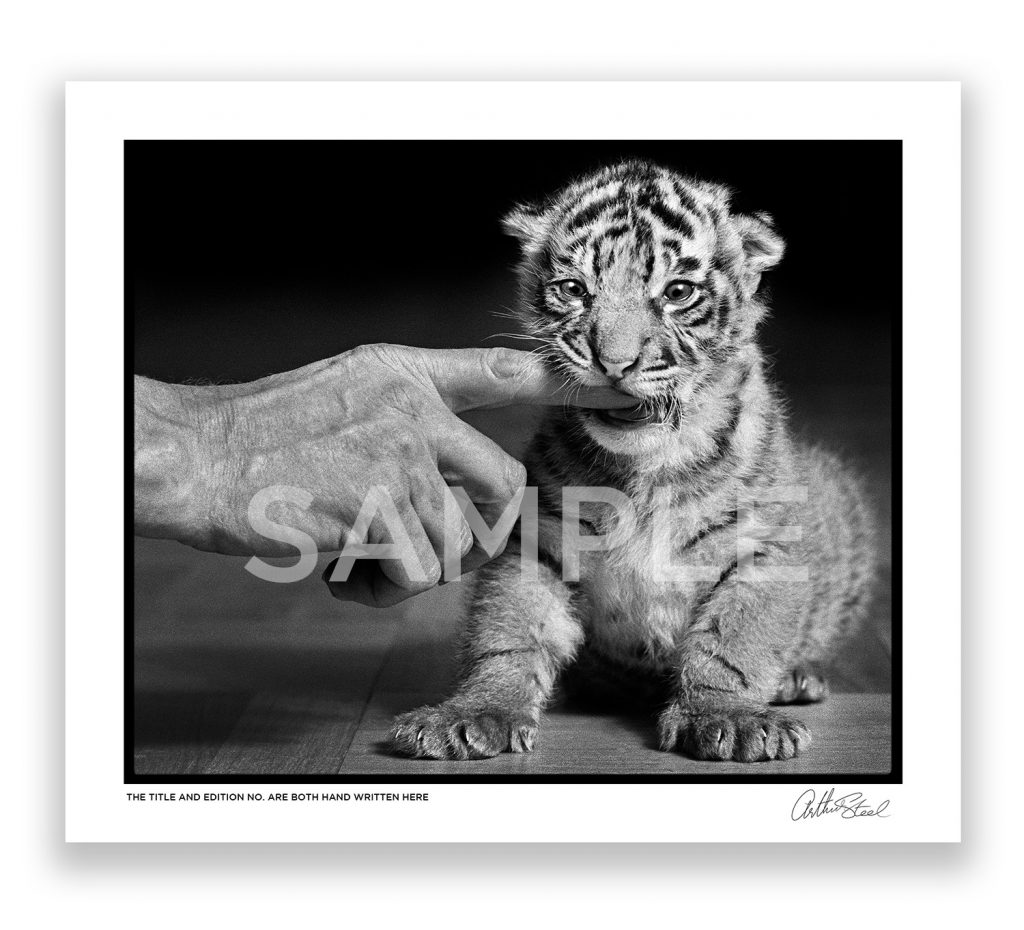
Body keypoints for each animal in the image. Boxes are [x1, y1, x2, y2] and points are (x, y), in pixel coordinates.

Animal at [388, 160, 878, 763]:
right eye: (575, 290)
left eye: (677, 292)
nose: (614, 364)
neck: (647, 469)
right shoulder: (538, 543)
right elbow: (509, 635)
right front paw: (476, 713)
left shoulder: (766, 547)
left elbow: (735, 642)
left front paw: (728, 718)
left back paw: (796, 678)